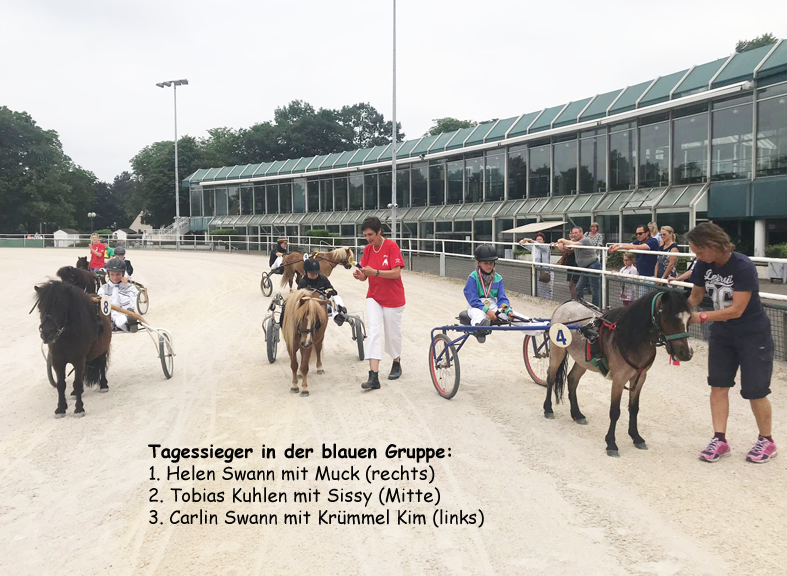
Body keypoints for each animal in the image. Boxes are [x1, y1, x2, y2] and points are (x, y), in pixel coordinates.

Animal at [34, 280, 112, 418]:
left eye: (60, 307)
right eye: (40, 307)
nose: (47, 334)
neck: (66, 337)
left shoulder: (79, 359)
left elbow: (77, 382)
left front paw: (79, 408)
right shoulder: (57, 361)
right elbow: (61, 384)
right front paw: (60, 408)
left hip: (102, 349)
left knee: (102, 364)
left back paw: (103, 384)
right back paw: (76, 392)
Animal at [545, 290, 693, 457]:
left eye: (689, 318)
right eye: (669, 318)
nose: (686, 353)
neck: (631, 339)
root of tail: (566, 304)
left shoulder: (639, 378)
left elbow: (634, 409)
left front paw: (636, 437)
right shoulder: (619, 379)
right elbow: (615, 411)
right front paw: (611, 443)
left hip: (583, 360)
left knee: (572, 379)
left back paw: (577, 414)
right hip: (557, 351)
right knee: (550, 377)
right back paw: (548, 409)